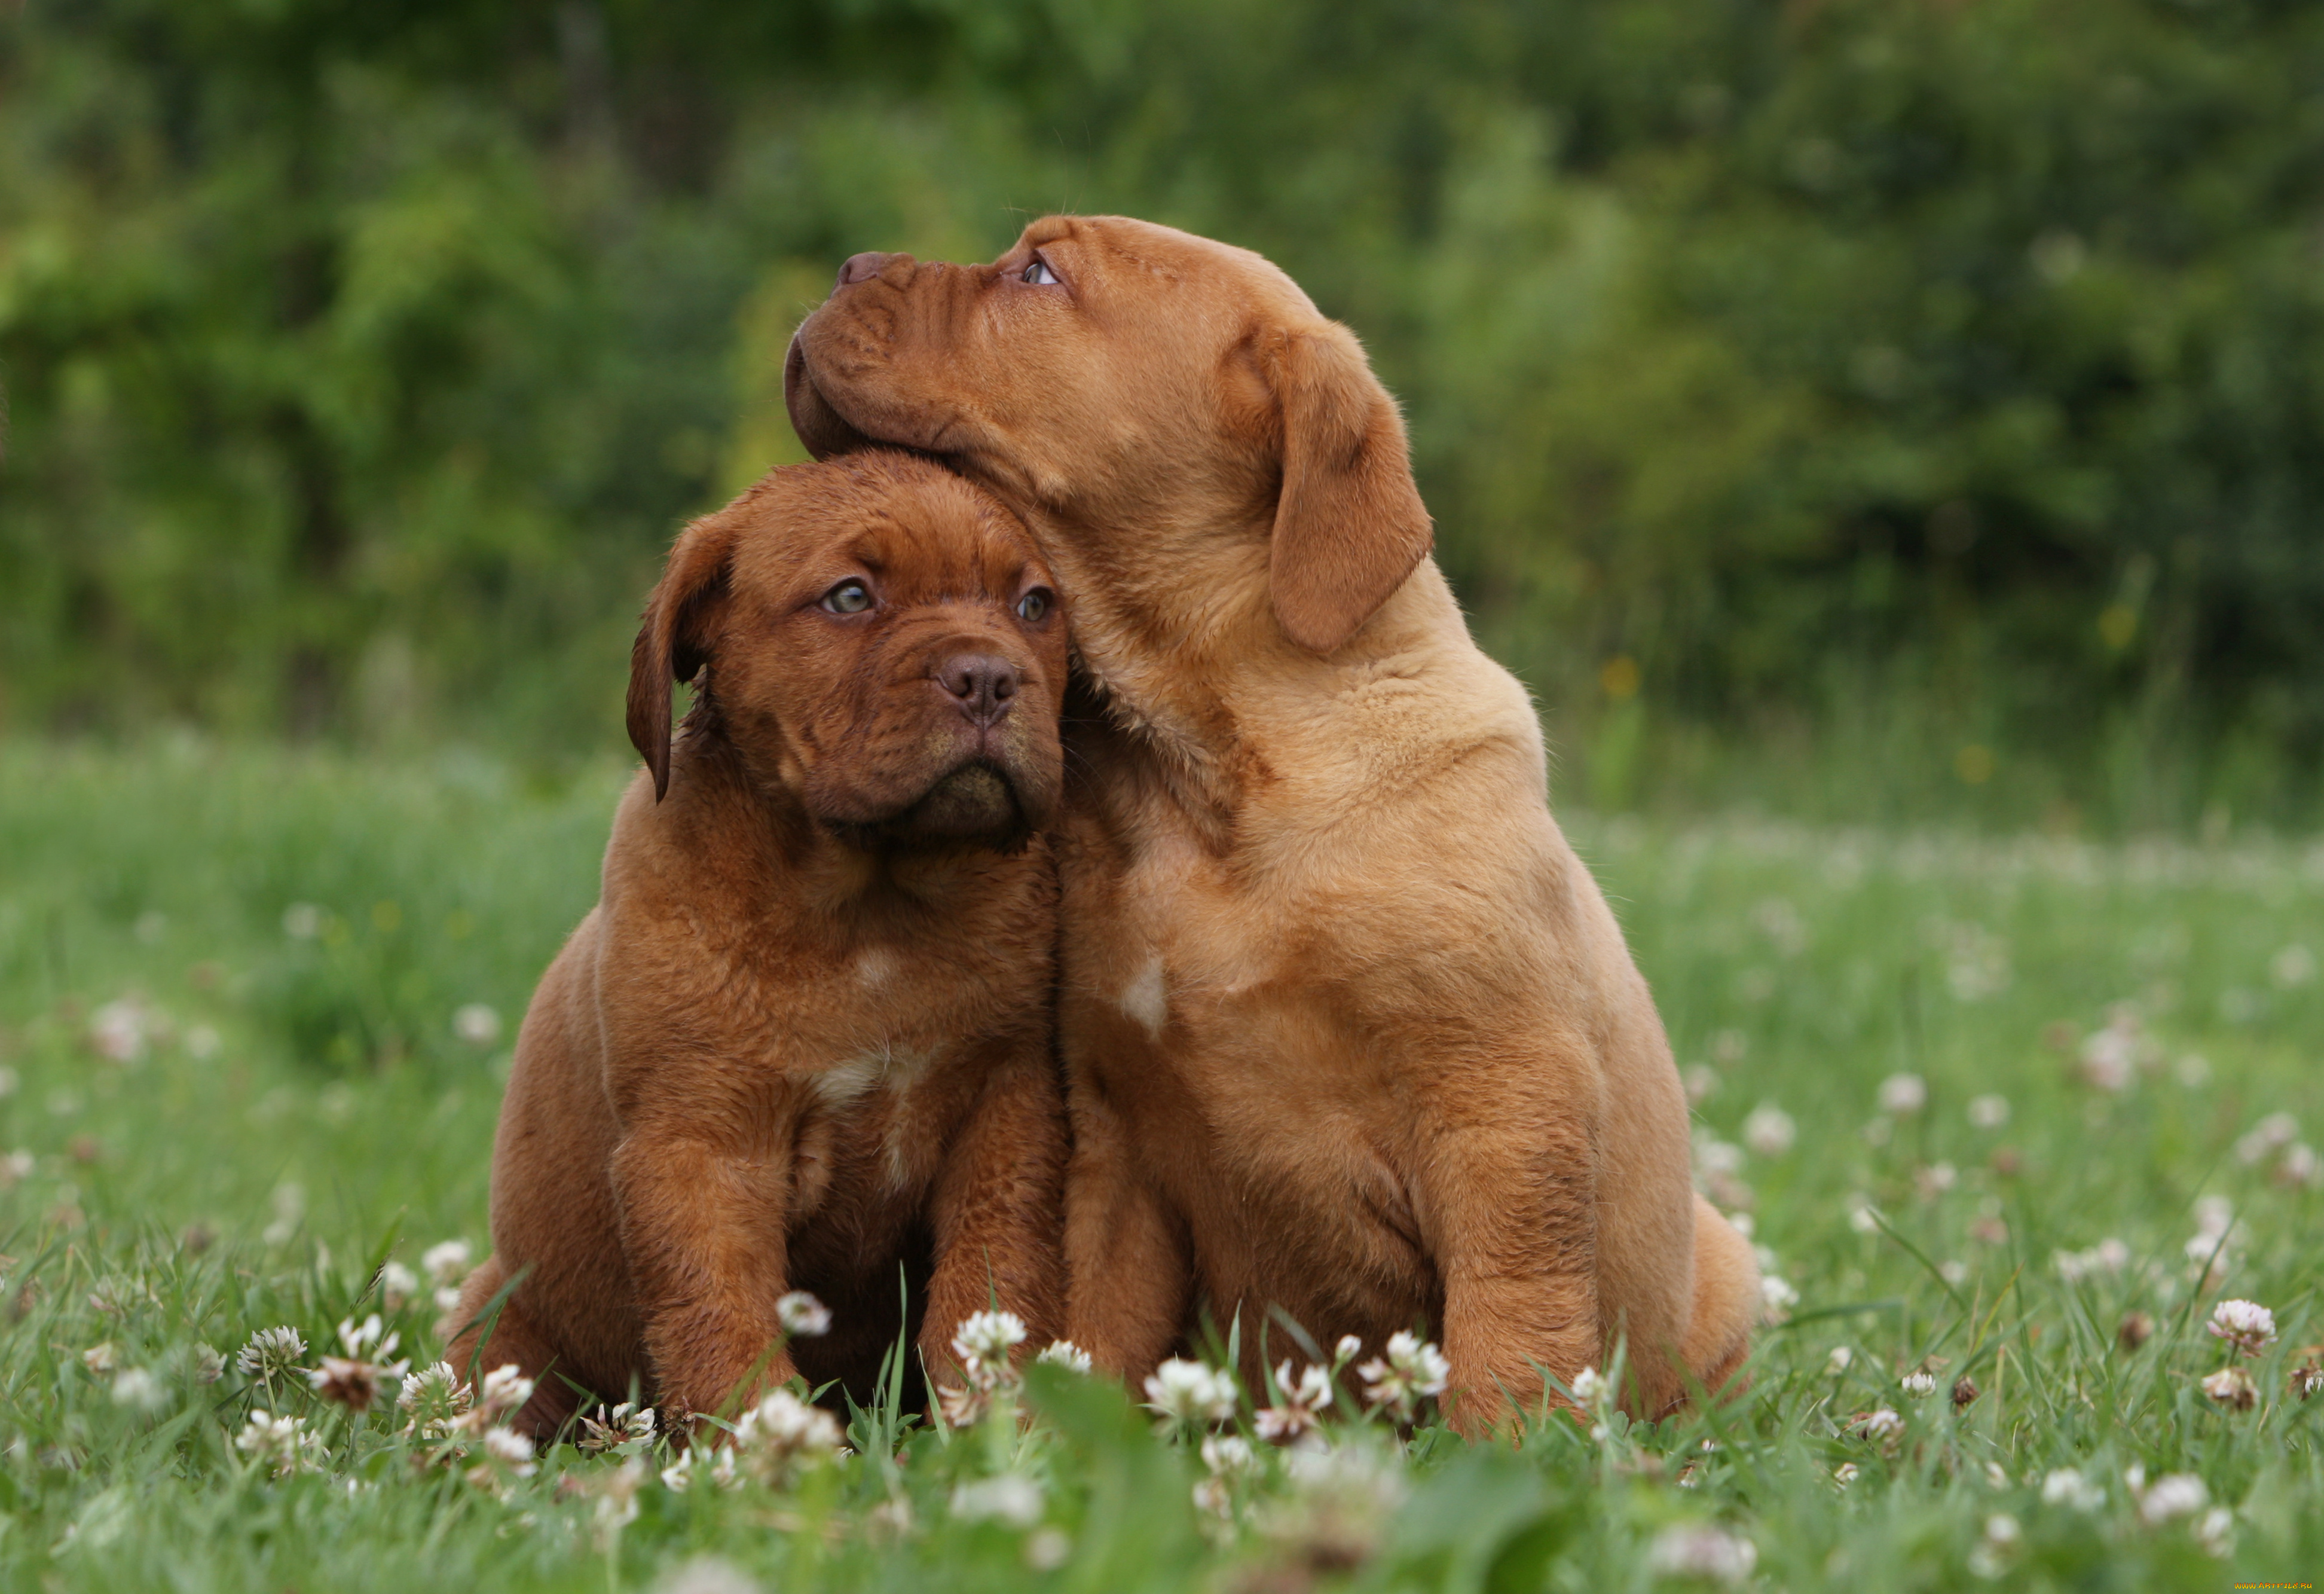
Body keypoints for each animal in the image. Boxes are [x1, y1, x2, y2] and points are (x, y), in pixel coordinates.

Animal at [444, 453, 1069, 1450]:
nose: (988, 677)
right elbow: (721, 1320)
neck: (871, 912)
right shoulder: (702, 1145)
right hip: (500, 1327)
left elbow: (985, 1292)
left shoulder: (1005, 1115)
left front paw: (987, 1435)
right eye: (851, 596)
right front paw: (767, 1451)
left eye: (1035, 605)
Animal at [785, 218, 1757, 1431]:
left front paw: (1509, 1452)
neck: (1204, 770)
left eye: (1040, 272)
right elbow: (1098, 1323)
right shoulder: (1115, 1139)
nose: (848, 265)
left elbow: (1512, 1318)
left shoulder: (1504, 1102)